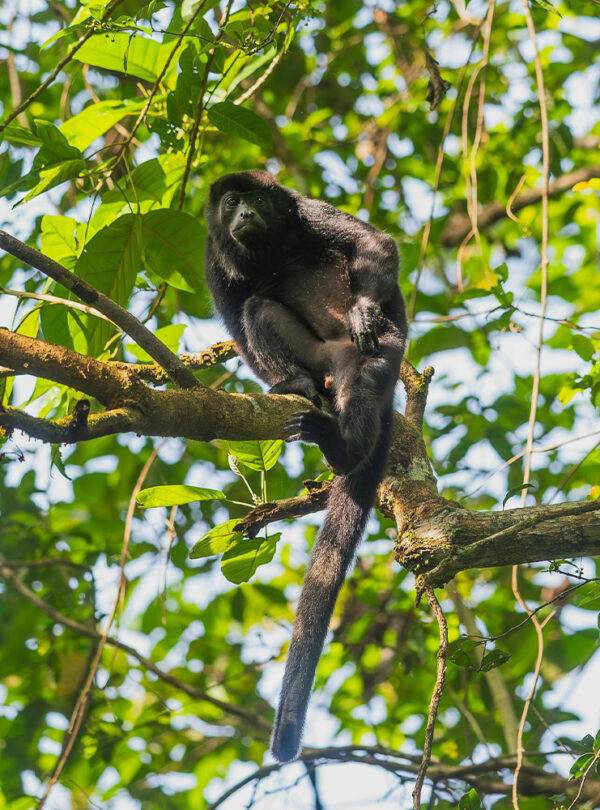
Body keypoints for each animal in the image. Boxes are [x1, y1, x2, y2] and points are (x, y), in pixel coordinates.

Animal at [204, 170, 407, 762]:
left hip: (371, 355)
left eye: (258, 198)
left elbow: (372, 242)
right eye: (232, 202)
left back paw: (346, 447)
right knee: (257, 311)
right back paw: (295, 385)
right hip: (315, 358)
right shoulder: (213, 258)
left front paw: (364, 307)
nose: (246, 212)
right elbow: (237, 318)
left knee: (369, 363)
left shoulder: (304, 210)